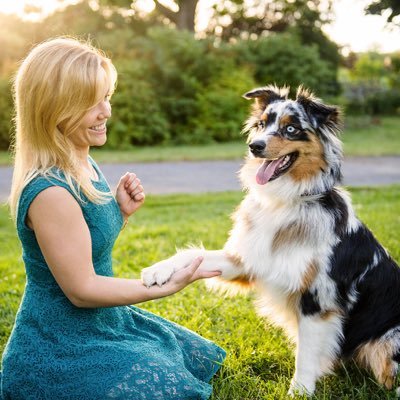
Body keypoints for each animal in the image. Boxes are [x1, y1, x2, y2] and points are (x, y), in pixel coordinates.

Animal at [141, 85, 400, 396]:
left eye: (291, 129)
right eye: (262, 124)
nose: (255, 146)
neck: (285, 202)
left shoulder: (317, 298)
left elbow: (306, 355)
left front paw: (299, 392)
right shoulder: (249, 261)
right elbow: (194, 255)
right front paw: (159, 270)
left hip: (391, 341)